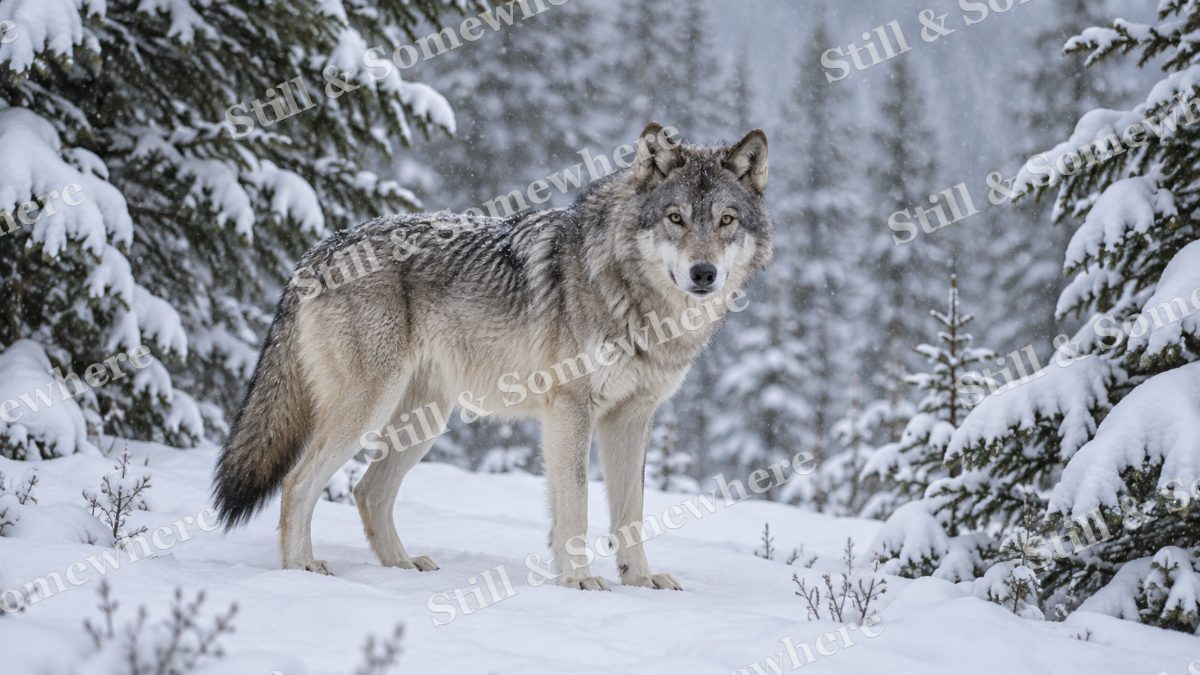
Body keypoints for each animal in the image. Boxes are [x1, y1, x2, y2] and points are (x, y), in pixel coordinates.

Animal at [212, 122, 772, 590]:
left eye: (726, 221)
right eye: (676, 218)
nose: (704, 273)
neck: (635, 300)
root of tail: (319, 249)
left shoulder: (631, 419)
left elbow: (630, 513)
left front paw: (640, 581)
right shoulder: (570, 411)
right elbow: (577, 507)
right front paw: (579, 581)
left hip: (423, 421)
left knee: (368, 491)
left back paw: (402, 567)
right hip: (367, 410)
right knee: (296, 482)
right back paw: (302, 569)